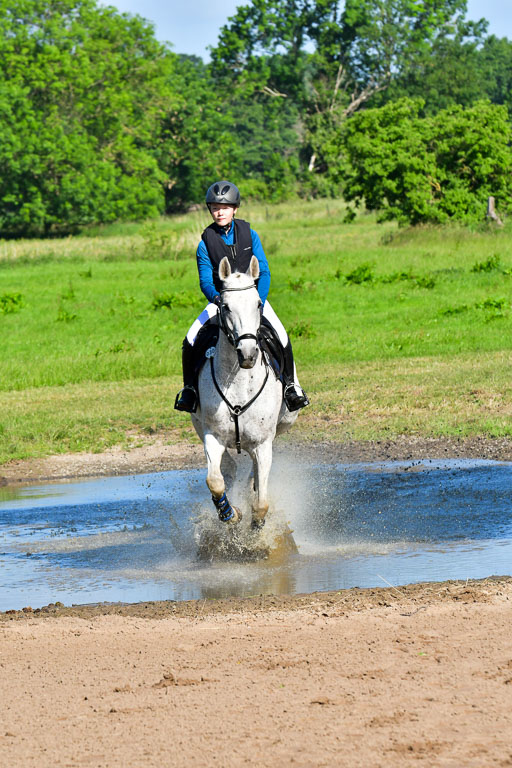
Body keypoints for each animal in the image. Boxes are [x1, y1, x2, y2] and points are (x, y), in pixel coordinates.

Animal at [191, 255, 297, 530]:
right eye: (226, 306)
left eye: (258, 304)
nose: (248, 354)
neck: (238, 380)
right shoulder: (213, 436)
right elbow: (215, 481)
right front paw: (230, 514)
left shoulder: (262, 442)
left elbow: (261, 502)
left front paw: (255, 529)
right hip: (199, 426)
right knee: (227, 468)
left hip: (280, 426)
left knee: (255, 471)